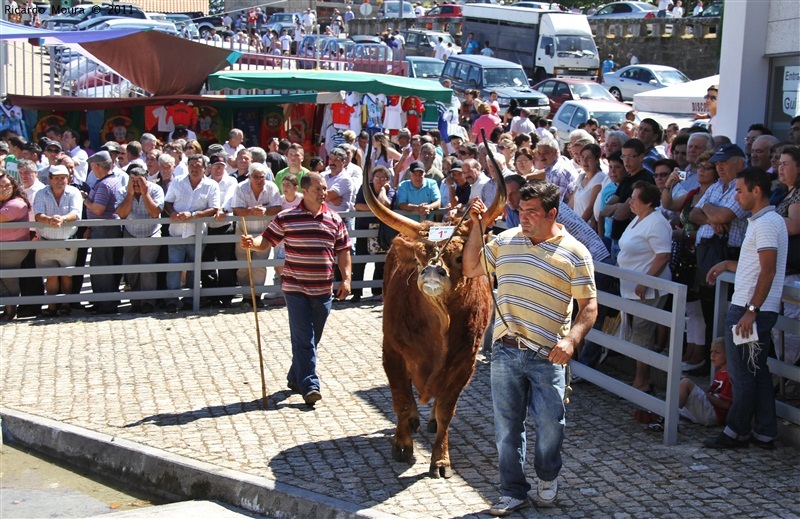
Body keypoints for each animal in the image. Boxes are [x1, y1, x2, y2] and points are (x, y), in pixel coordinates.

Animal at [364, 172, 506, 480]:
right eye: (420, 257)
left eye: (458, 257)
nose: (432, 270)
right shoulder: (392, 352)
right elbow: (402, 400)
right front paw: (402, 445)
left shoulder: (465, 362)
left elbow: (445, 409)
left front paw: (440, 460)